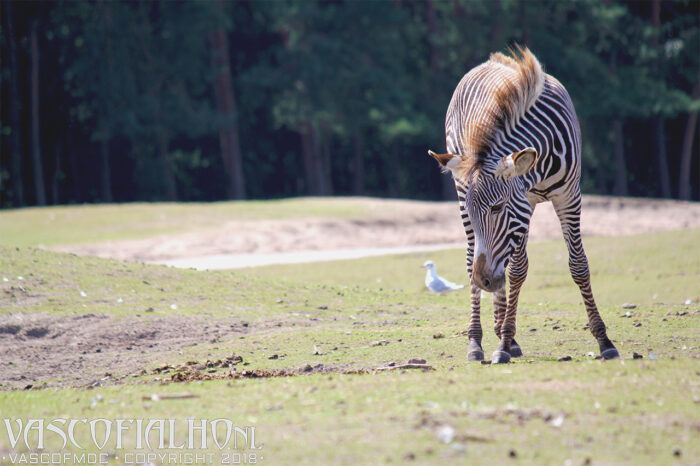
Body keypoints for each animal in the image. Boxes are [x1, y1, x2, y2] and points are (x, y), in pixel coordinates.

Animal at [428, 46, 620, 364]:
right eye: (476, 212)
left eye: (496, 208)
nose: (484, 281)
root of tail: (486, 64)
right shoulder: (517, 203)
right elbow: (516, 269)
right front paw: (503, 343)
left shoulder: (568, 195)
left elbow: (577, 264)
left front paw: (604, 340)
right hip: (461, 185)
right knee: (471, 259)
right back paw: (476, 341)